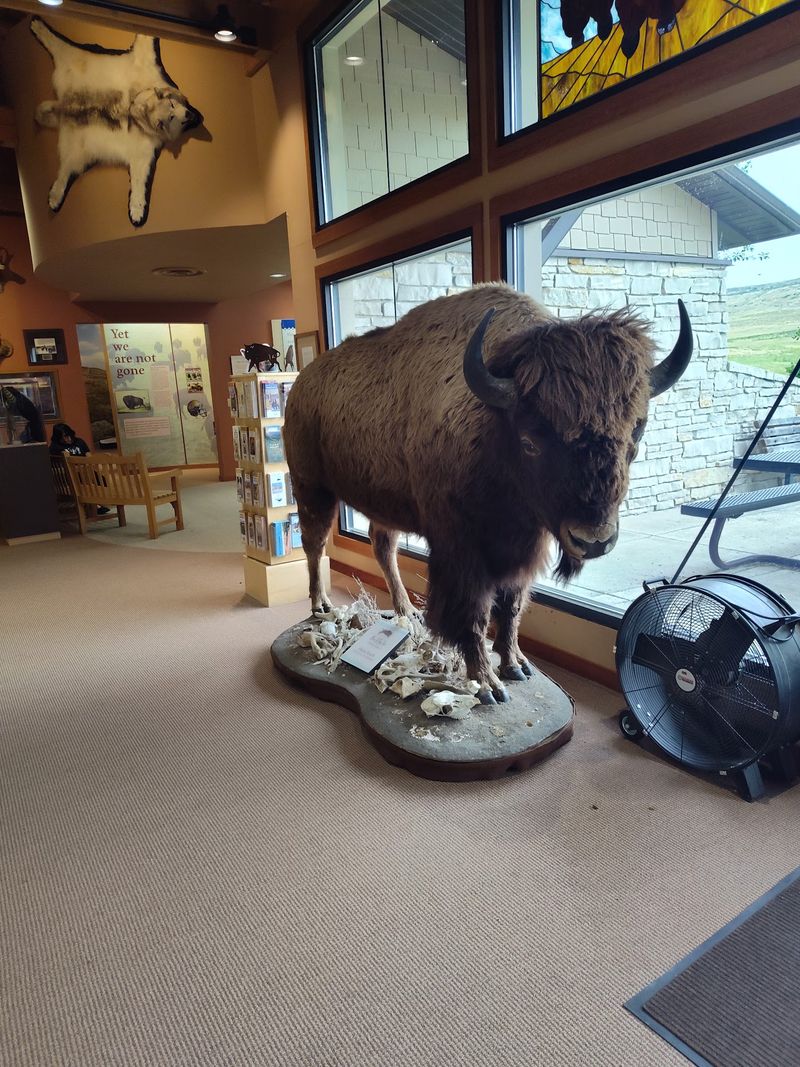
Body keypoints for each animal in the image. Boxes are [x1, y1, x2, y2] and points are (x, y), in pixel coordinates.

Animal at [283, 283, 692, 704]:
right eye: (530, 441)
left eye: (636, 431)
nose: (592, 539)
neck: (493, 429)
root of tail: (300, 387)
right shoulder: (464, 553)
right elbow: (475, 615)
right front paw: (488, 685)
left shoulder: (522, 551)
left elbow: (511, 609)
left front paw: (516, 665)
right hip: (312, 488)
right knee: (314, 544)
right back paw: (322, 606)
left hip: (383, 504)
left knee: (382, 546)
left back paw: (405, 611)